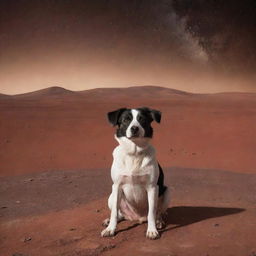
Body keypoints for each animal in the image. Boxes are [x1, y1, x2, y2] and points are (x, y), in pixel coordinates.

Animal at [100, 107, 170, 239]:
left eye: (142, 119)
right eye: (126, 120)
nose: (134, 128)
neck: (134, 154)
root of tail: (137, 218)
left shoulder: (152, 187)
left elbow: (152, 212)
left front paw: (152, 230)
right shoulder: (117, 186)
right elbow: (114, 213)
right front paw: (110, 229)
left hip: (167, 192)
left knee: (158, 212)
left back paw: (159, 222)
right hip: (111, 196)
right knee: (119, 213)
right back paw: (109, 221)